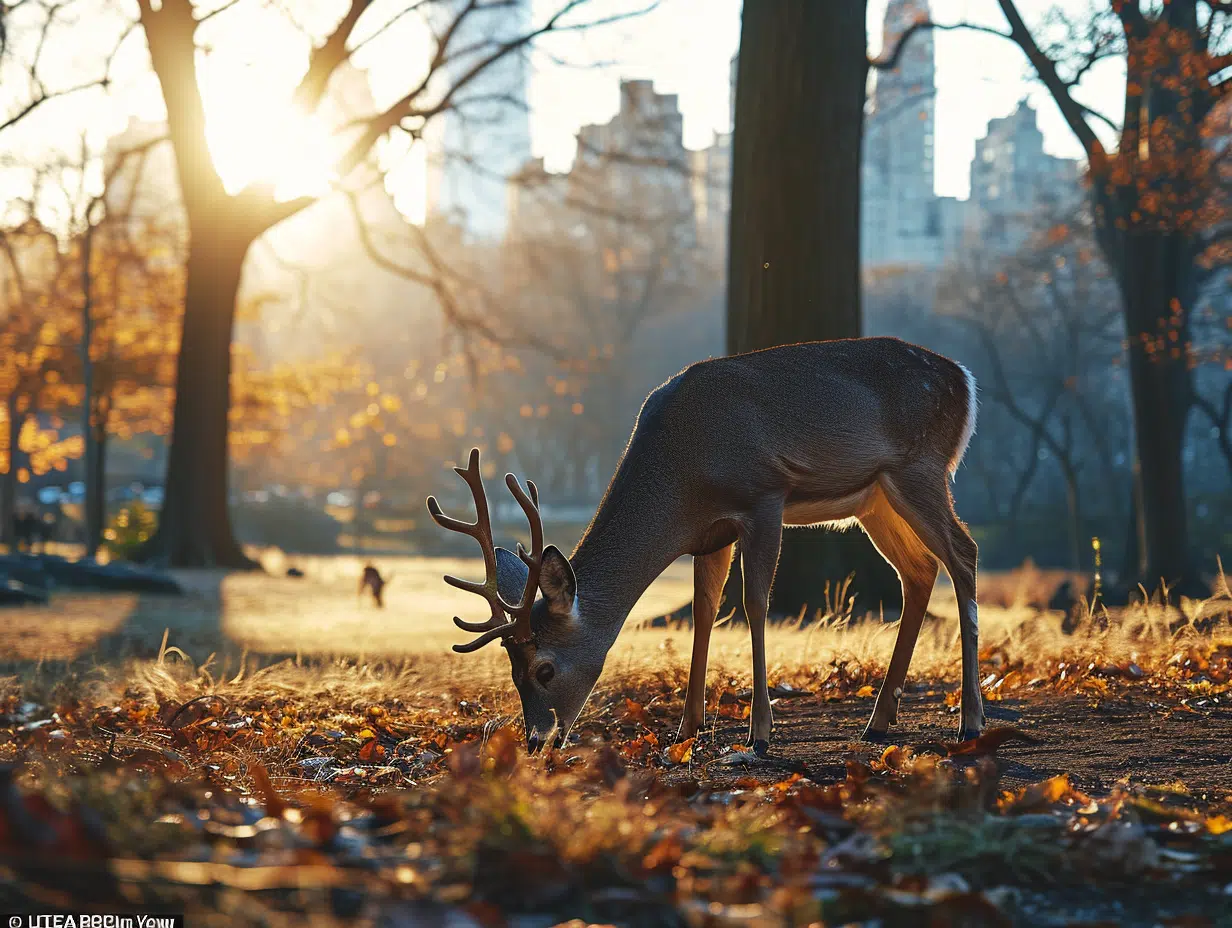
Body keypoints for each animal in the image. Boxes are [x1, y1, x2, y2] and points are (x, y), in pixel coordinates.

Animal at [428, 340, 985, 754]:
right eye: (511, 669)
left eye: (544, 668)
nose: (537, 740)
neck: (685, 475)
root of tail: (965, 379)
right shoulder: (709, 536)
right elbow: (703, 612)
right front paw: (687, 727)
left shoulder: (763, 494)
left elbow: (755, 604)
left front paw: (759, 732)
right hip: (876, 497)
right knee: (919, 570)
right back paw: (879, 721)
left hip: (920, 465)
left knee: (963, 552)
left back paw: (970, 719)